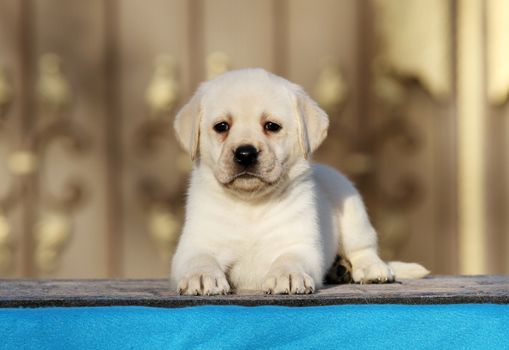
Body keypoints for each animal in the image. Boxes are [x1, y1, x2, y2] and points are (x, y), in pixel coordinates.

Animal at [171, 68, 428, 296]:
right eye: (222, 126)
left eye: (272, 126)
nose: (245, 154)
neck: (250, 206)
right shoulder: (194, 245)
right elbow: (199, 259)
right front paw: (201, 276)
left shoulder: (301, 244)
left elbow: (290, 258)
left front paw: (288, 275)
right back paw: (340, 269)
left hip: (353, 211)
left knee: (364, 249)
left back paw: (371, 269)